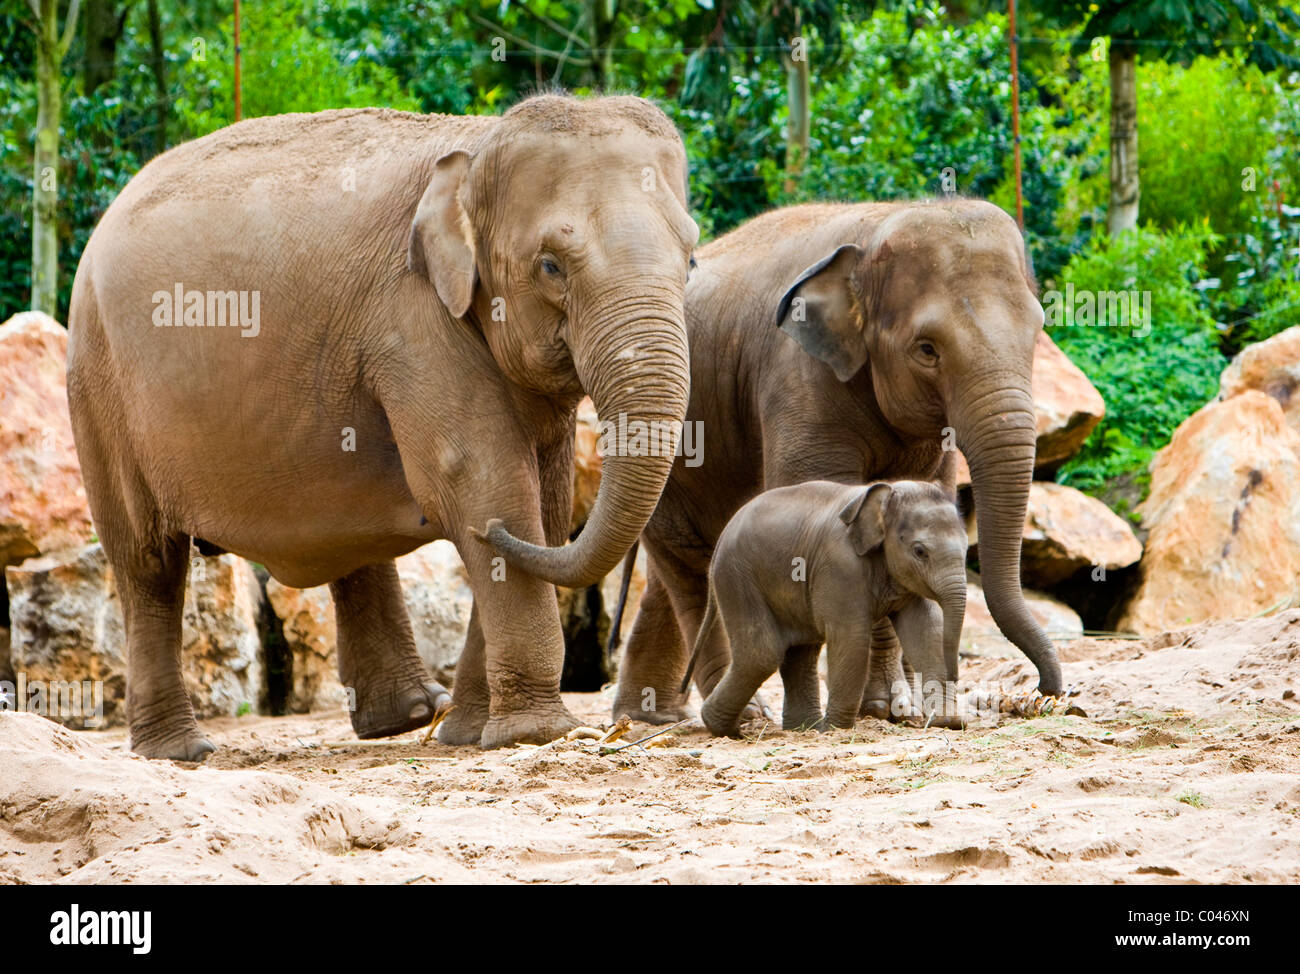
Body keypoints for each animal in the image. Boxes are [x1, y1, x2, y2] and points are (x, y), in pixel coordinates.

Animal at [68, 92, 702, 759]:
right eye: (551, 266)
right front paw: (535, 733)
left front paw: (468, 734)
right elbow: (483, 480)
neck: (478, 148)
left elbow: (546, 504)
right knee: (148, 561)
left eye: (690, 259)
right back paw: (180, 751)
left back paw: (411, 716)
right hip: (99, 385)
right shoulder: (412, 318)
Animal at [681, 478, 967, 738]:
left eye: (966, 547)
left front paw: (949, 723)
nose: (954, 674)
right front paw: (837, 730)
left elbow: (925, 632)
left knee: (799, 650)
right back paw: (725, 728)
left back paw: (804, 729)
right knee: (761, 653)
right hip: (737, 578)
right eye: (920, 551)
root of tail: (721, 538)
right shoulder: (839, 565)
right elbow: (852, 637)